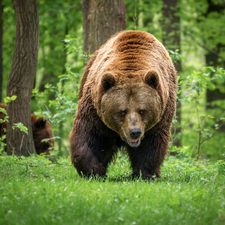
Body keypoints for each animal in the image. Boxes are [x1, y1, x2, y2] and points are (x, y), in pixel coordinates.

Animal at [70, 30, 178, 180]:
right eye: (122, 111)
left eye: (142, 110)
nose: (135, 132)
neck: (131, 65)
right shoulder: (95, 111)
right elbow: (88, 135)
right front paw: (93, 170)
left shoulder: (161, 114)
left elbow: (152, 144)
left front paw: (145, 173)